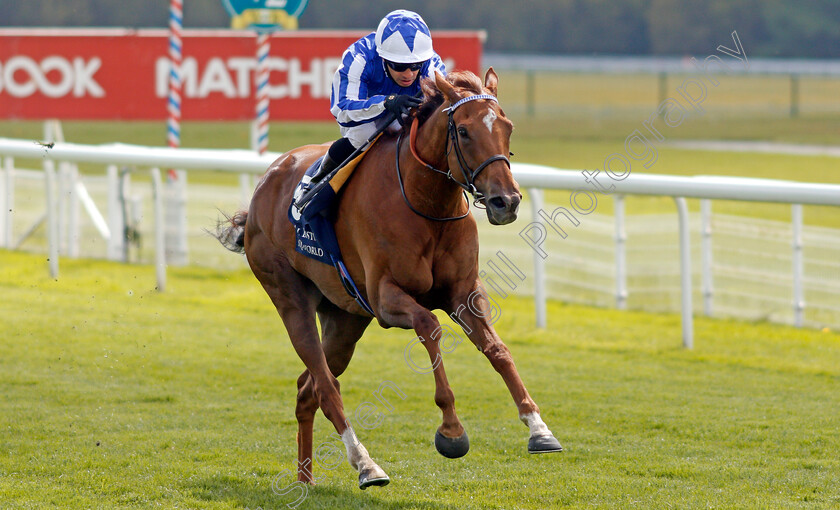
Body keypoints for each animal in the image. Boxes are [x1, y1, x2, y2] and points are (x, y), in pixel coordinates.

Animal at [213, 68, 560, 490]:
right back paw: (366, 465)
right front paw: (451, 431)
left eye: (507, 127)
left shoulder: (464, 292)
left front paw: (539, 428)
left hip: (345, 320)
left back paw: (306, 479)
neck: (426, 203)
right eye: (463, 131)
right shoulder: (386, 299)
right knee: (326, 386)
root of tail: (265, 183)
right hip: (289, 297)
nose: (505, 201)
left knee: (307, 388)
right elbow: (429, 325)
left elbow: (498, 350)